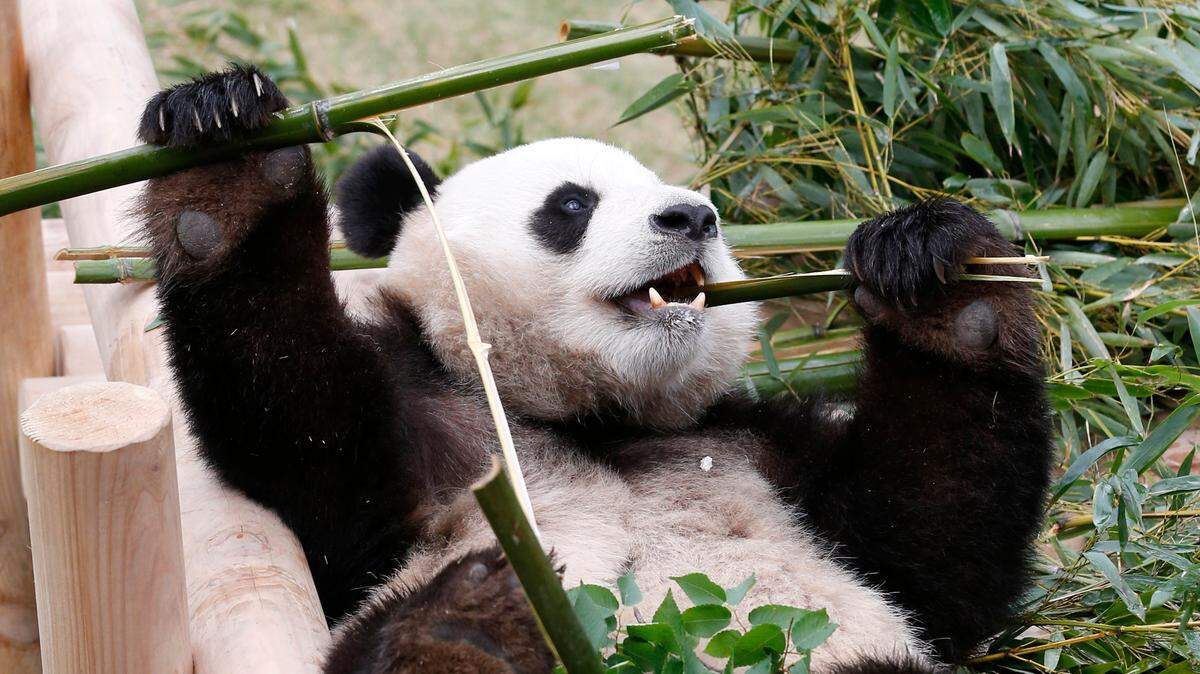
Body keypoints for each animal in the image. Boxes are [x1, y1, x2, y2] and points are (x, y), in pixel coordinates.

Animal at [135, 65, 1052, 674]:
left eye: (710, 214)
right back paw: (469, 627)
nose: (692, 217)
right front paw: (225, 153)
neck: (593, 420)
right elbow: (293, 406)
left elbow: (935, 550)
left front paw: (943, 286)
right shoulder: (413, 440)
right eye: (572, 204)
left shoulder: (761, 448)